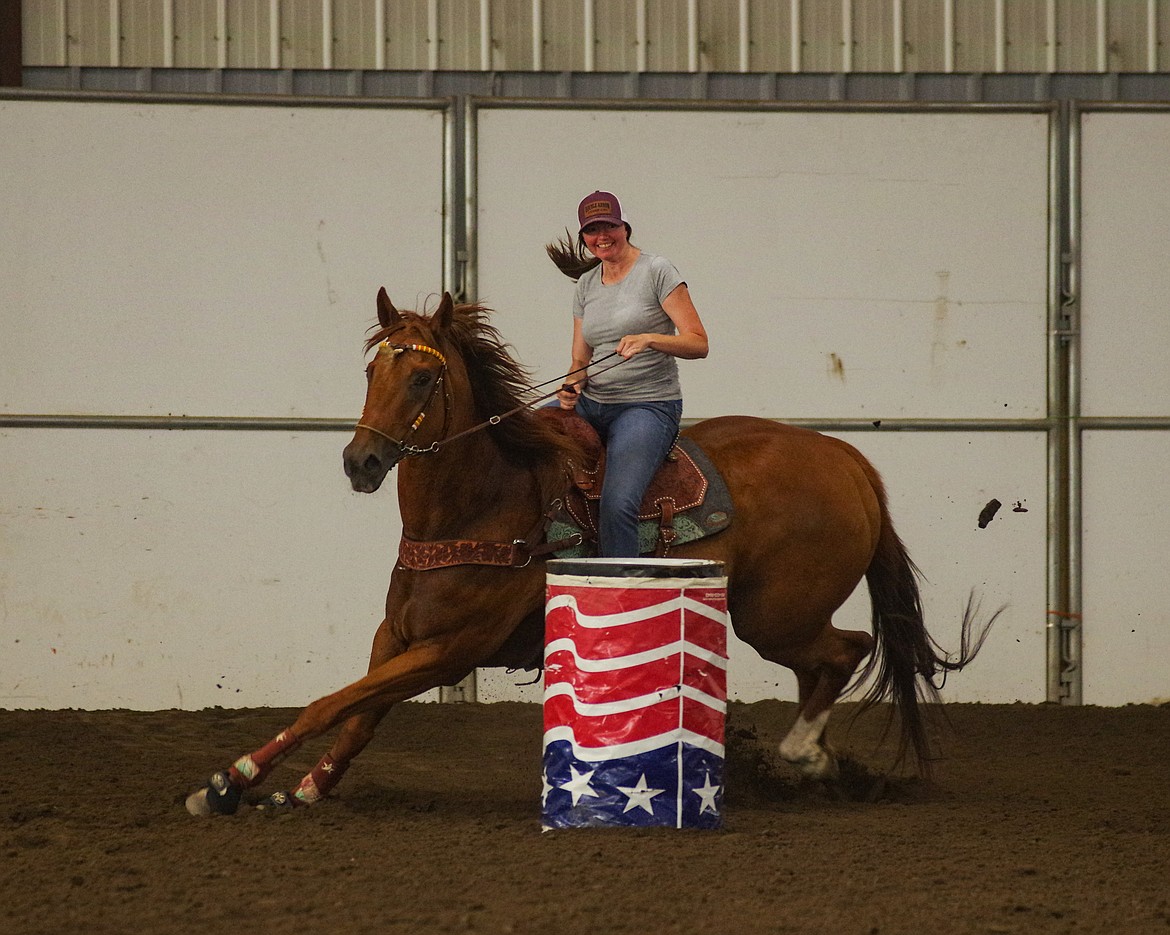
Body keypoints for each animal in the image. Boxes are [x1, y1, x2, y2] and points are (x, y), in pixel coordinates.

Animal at [187, 289, 992, 814]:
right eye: (370, 371)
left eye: (422, 375)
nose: (360, 462)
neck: (483, 499)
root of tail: (848, 460)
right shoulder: (398, 636)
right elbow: (358, 711)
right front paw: (307, 784)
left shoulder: (449, 651)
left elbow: (331, 701)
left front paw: (230, 778)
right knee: (828, 660)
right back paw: (812, 763)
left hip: (776, 614)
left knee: (845, 648)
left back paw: (804, 754)